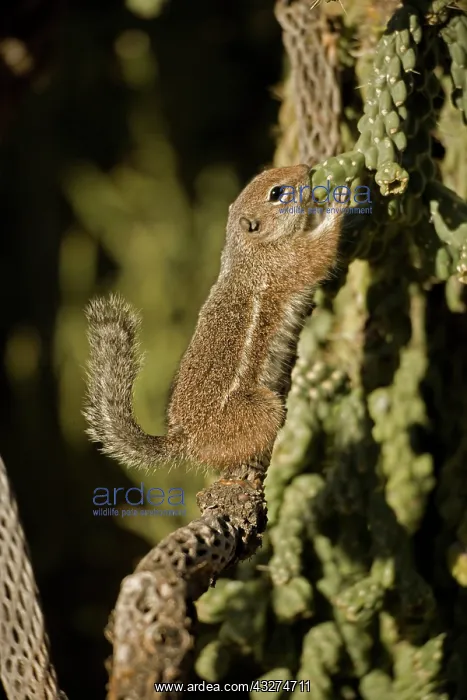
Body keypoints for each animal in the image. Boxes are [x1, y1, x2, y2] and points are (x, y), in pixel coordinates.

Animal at [83, 164, 344, 473]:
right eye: (277, 193)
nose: (307, 168)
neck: (250, 250)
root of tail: (186, 438)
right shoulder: (288, 263)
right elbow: (320, 254)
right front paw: (340, 202)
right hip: (262, 410)